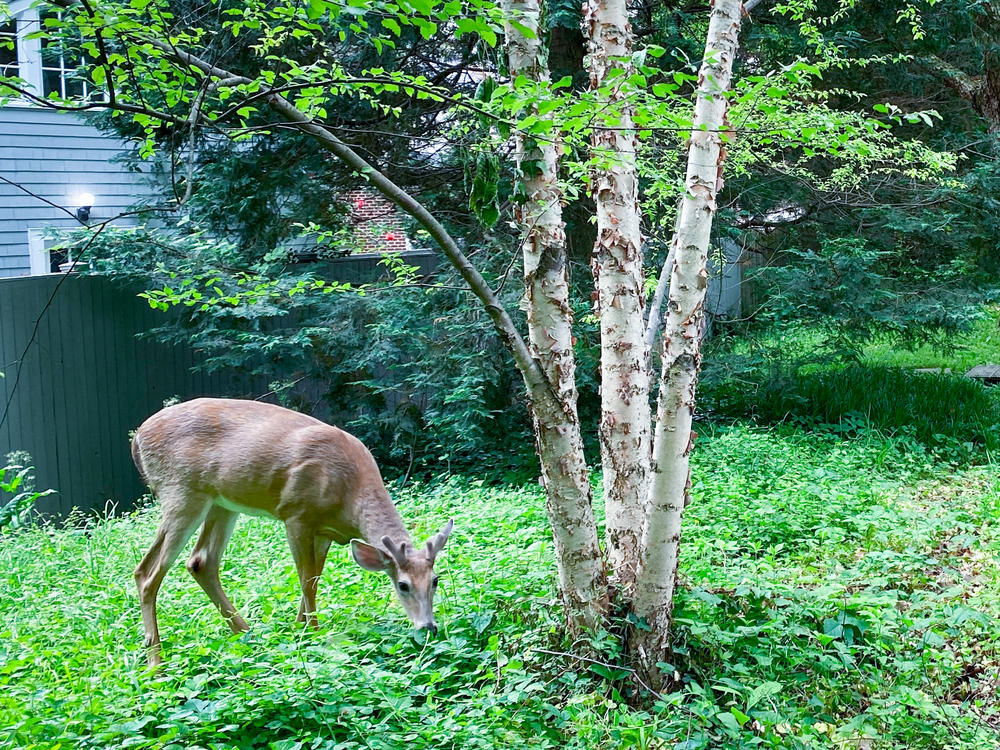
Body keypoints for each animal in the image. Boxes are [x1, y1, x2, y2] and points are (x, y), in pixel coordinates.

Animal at [129, 400, 454, 668]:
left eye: (435, 581)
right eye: (402, 585)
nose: (429, 627)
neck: (349, 494)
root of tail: (137, 437)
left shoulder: (325, 531)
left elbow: (314, 579)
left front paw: (300, 631)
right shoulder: (296, 514)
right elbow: (306, 580)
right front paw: (313, 635)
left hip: (221, 502)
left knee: (200, 561)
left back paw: (248, 635)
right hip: (181, 492)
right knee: (147, 572)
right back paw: (156, 663)